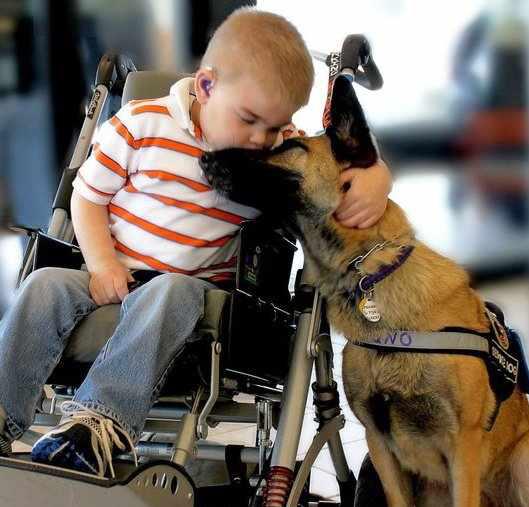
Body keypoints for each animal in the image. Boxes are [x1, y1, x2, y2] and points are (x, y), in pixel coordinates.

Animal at [200, 75, 529, 506]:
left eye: (288, 148)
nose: (205, 157)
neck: (369, 273)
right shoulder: (380, 446)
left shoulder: (464, 449)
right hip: (372, 469)